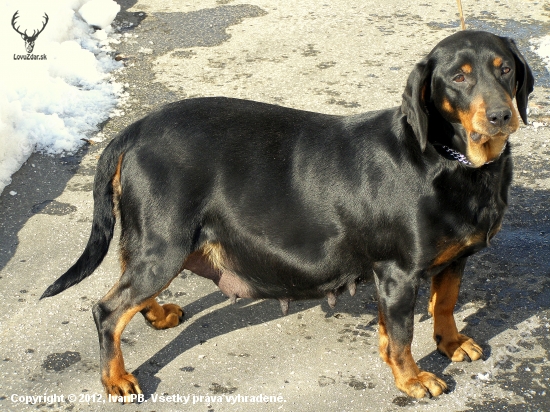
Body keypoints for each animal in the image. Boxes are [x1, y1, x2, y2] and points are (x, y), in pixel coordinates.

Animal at [42, 31, 536, 400]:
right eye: (458, 77)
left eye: (505, 68)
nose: (501, 116)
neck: (450, 159)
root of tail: (133, 130)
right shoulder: (398, 272)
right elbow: (402, 336)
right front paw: (412, 379)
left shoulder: (452, 260)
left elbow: (445, 305)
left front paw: (451, 344)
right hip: (165, 246)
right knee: (108, 310)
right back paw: (115, 379)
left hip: (153, 242)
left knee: (127, 282)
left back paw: (157, 314)